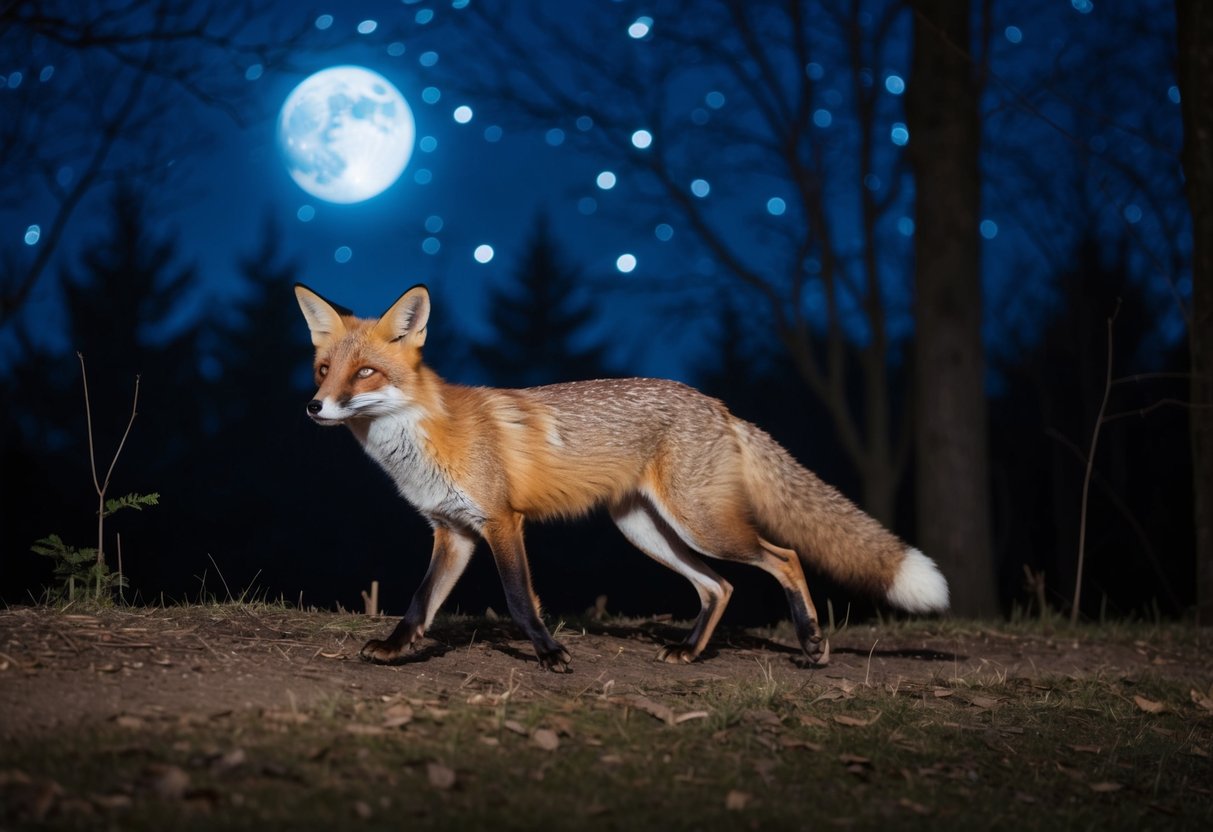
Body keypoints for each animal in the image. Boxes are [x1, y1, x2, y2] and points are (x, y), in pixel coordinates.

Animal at [294, 283, 949, 672]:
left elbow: (518, 598)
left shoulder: (503, 522)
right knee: (719, 587)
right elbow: (420, 601)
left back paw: (811, 644)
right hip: (646, 530)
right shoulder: (452, 532)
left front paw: (550, 654)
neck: (425, 439)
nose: (314, 407)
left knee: (783, 558)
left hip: (704, 526)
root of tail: (719, 405)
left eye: (367, 372)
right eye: (325, 370)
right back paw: (689, 651)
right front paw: (395, 648)